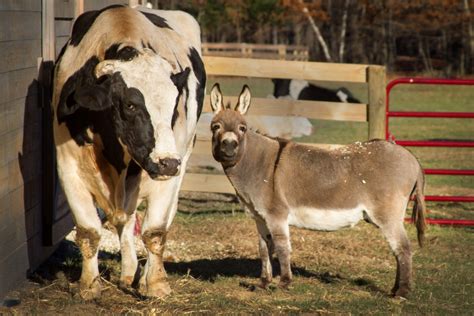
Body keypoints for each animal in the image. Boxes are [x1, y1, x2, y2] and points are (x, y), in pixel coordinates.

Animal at [51, 6, 206, 300]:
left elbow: (155, 232)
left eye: (174, 105)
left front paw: (156, 284)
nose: (168, 163)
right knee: (127, 220)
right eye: (131, 105)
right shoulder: (68, 167)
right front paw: (89, 285)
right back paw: (128, 271)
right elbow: (89, 231)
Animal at [207, 83, 426, 298]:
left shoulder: (276, 215)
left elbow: (282, 247)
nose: (229, 148)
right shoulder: (259, 218)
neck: (259, 163)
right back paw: (395, 289)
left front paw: (284, 283)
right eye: (215, 127)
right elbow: (263, 249)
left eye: (242, 128)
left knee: (403, 248)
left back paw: (402, 292)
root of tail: (412, 158)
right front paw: (263, 283)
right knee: (398, 250)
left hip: (387, 215)